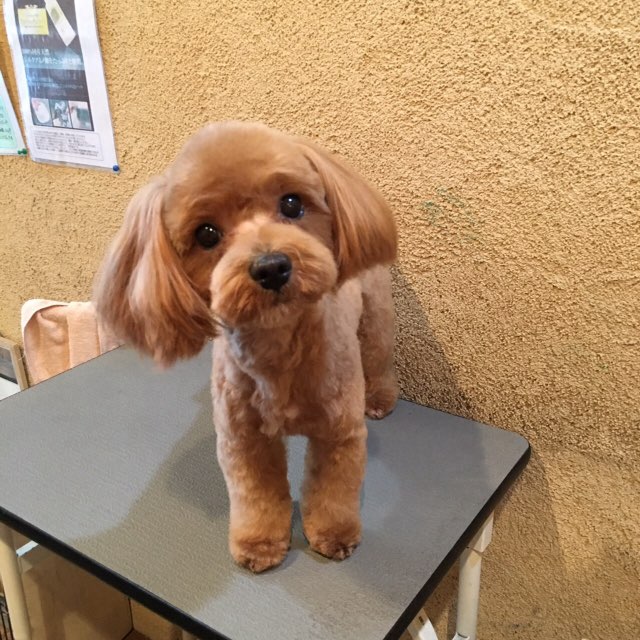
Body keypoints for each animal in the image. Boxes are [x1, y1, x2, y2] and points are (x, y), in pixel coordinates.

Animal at [94, 121, 398, 572]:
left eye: (291, 203)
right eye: (206, 234)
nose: (271, 266)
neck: (280, 348)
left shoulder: (339, 432)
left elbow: (334, 489)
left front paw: (336, 534)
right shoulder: (243, 440)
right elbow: (258, 495)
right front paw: (258, 543)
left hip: (375, 317)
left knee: (378, 358)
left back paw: (379, 398)